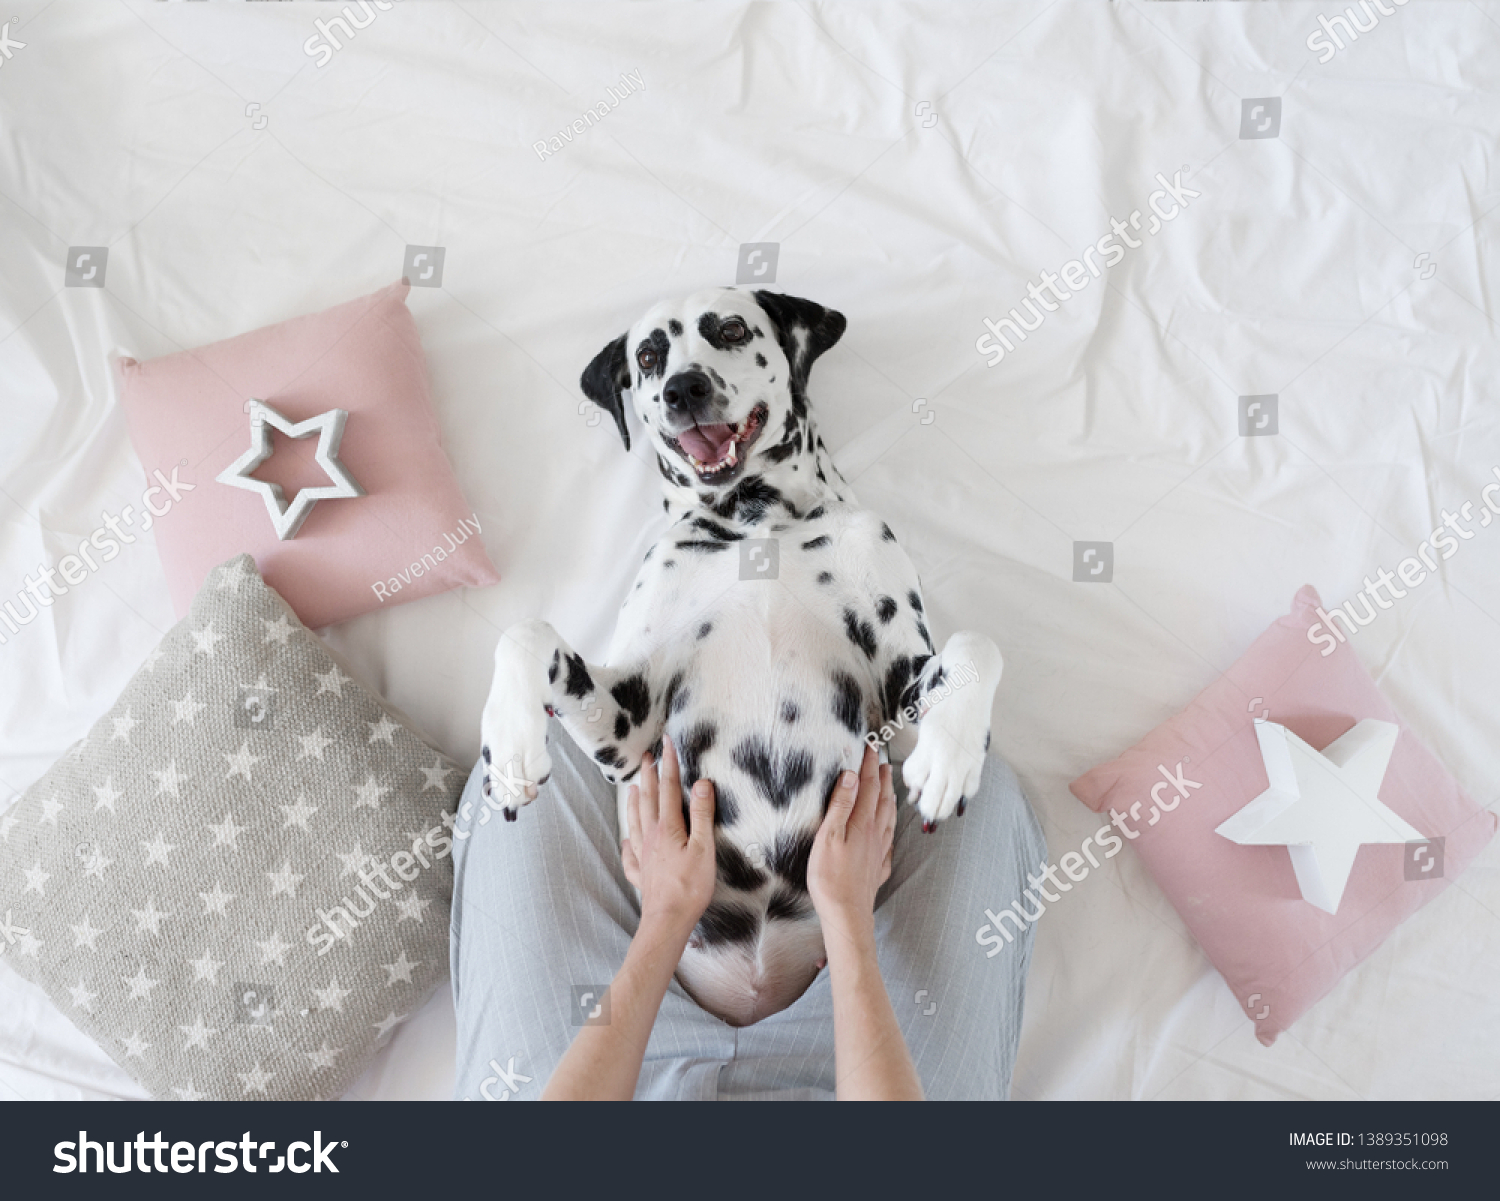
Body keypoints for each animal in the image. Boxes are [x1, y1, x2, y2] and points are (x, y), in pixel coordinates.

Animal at [477, 287, 996, 1019]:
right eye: (647, 355)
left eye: (729, 329)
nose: (682, 388)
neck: (757, 522)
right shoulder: (628, 731)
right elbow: (525, 632)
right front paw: (512, 747)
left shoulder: (899, 694)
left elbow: (977, 644)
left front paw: (950, 760)